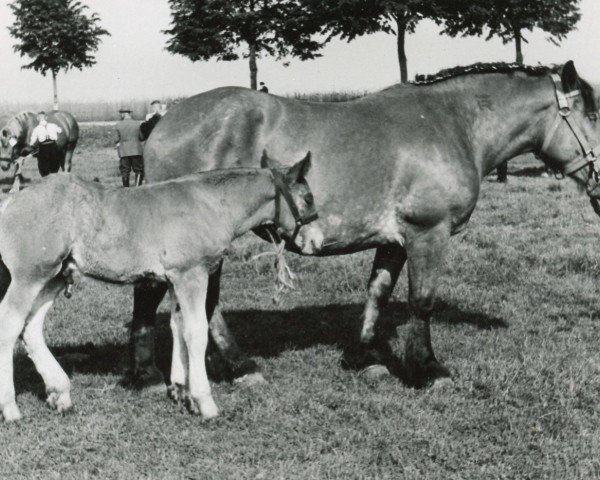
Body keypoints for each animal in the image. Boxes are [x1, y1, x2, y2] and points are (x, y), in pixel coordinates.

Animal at [0, 152, 322, 422]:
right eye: (308, 198)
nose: (317, 241)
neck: (210, 204)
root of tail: (10, 202)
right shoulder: (192, 274)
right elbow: (196, 332)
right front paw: (205, 402)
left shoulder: (176, 279)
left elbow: (178, 325)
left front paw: (182, 391)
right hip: (29, 276)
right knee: (9, 326)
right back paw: (11, 408)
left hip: (54, 277)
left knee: (31, 328)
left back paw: (61, 393)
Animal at [131, 60, 600, 390]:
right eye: (593, 116)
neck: (452, 124)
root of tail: (164, 123)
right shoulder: (428, 232)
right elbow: (421, 300)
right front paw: (427, 368)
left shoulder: (393, 239)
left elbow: (378, 291)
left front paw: (368, 357)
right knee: (155, 291)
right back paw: (153, 372)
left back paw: (233, 365)